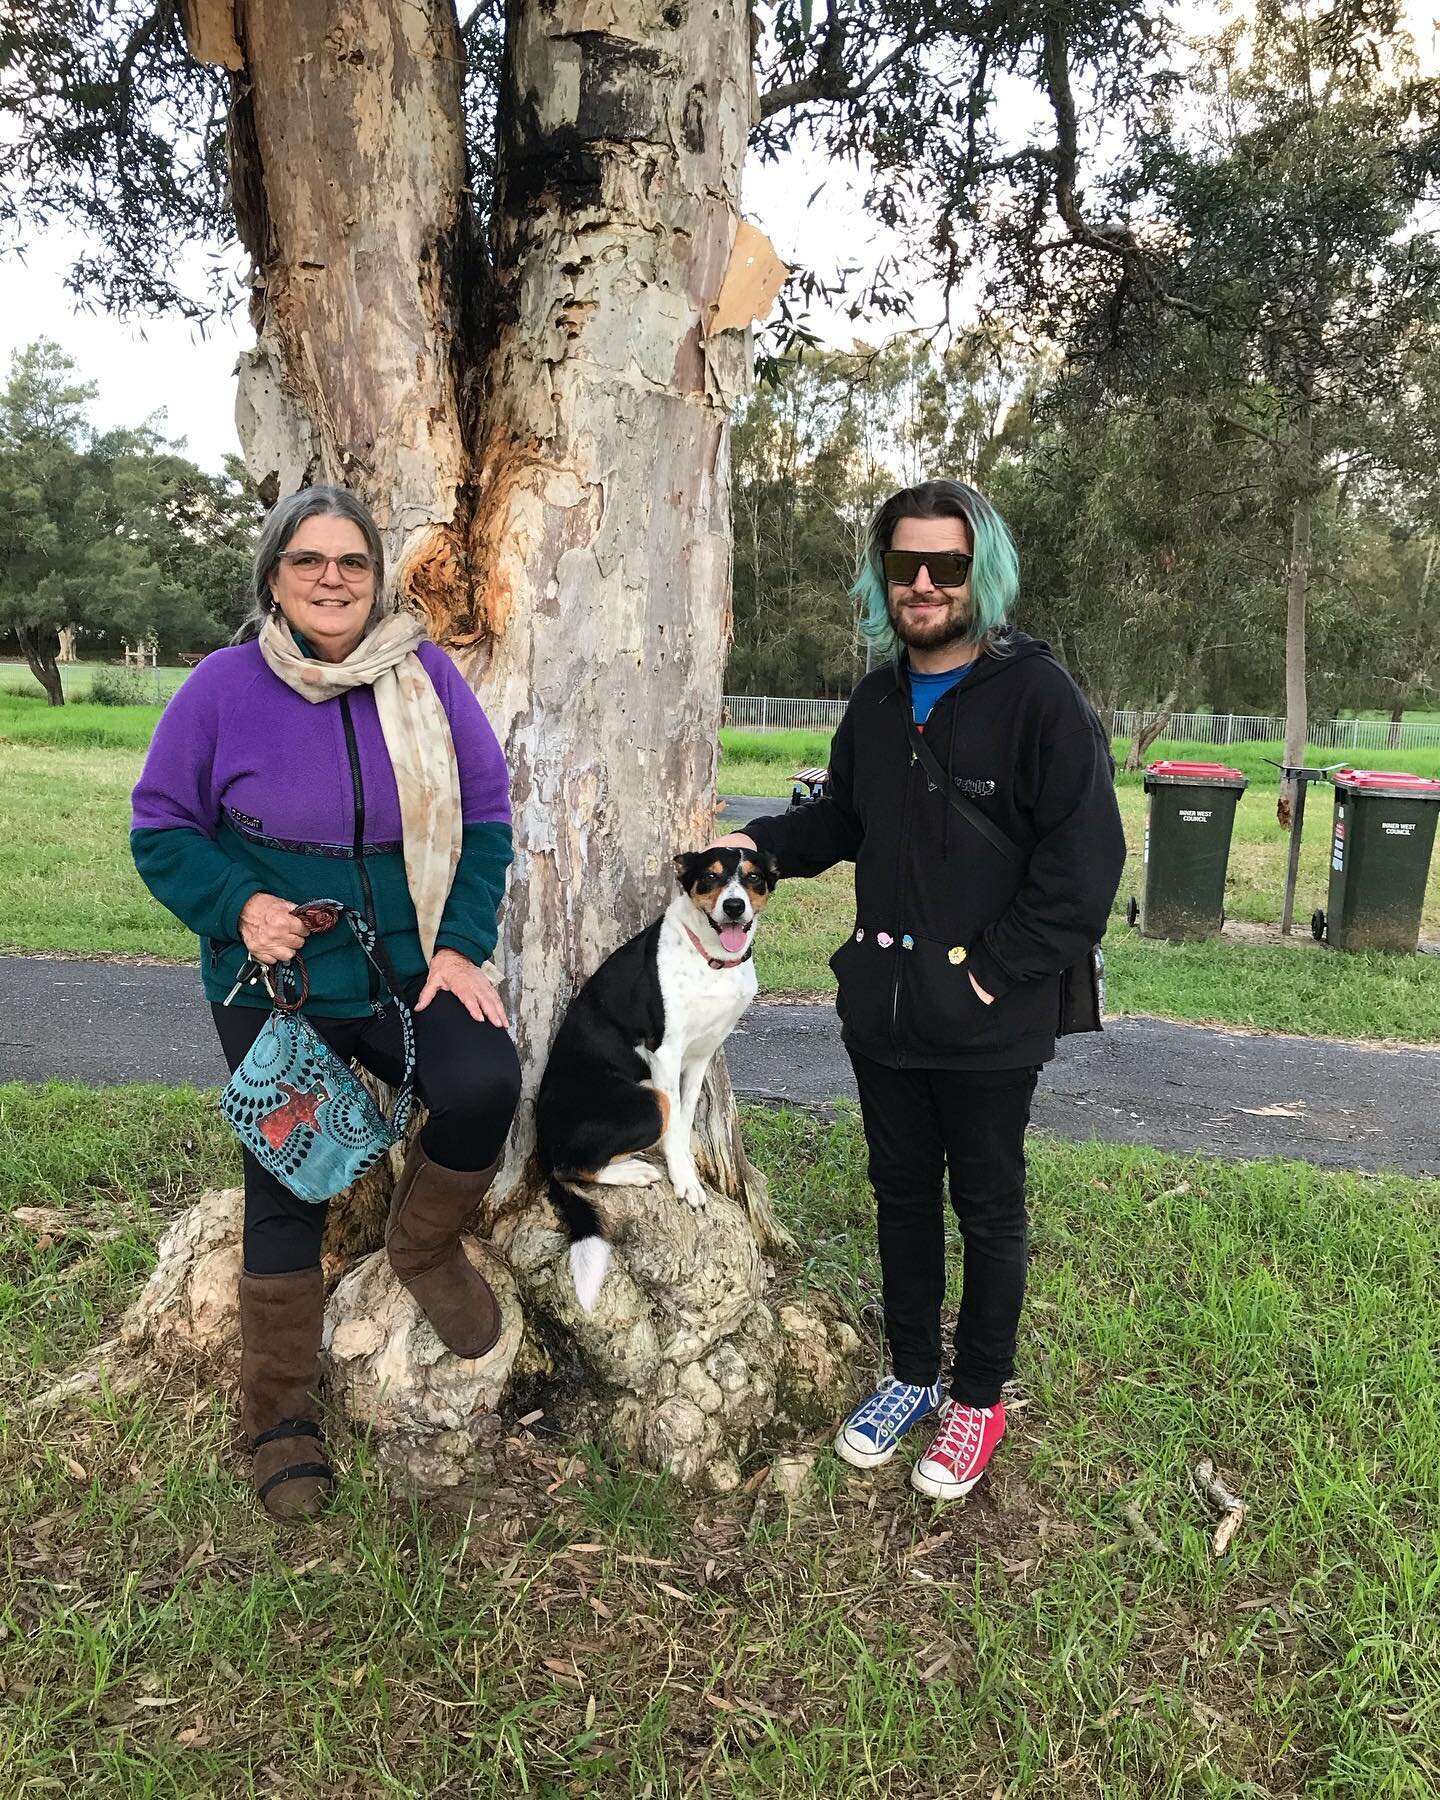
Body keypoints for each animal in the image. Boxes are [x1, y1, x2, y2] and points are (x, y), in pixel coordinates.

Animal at [532, 849, 777, 1317]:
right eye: (709, 878)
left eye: (754, 877)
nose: (734, 906)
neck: (710, 961)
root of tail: (541, 1141)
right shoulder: (666, 1053)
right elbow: (677, 1125)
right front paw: (686, 1182)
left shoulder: (700, 1057)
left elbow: (685, 1120)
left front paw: (686, 1170)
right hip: (647, 1103)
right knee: (573, 1168)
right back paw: (633, 1171)